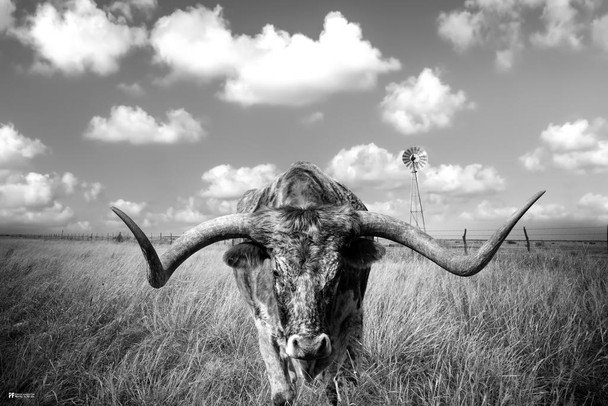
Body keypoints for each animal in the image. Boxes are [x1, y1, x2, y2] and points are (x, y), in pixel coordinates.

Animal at [111, 160, 544, 404]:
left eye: (335, 275)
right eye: (276, 272)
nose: (306, 344)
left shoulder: (343, 328)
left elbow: (329, 390)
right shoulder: (264, 329)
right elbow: (282, 391)